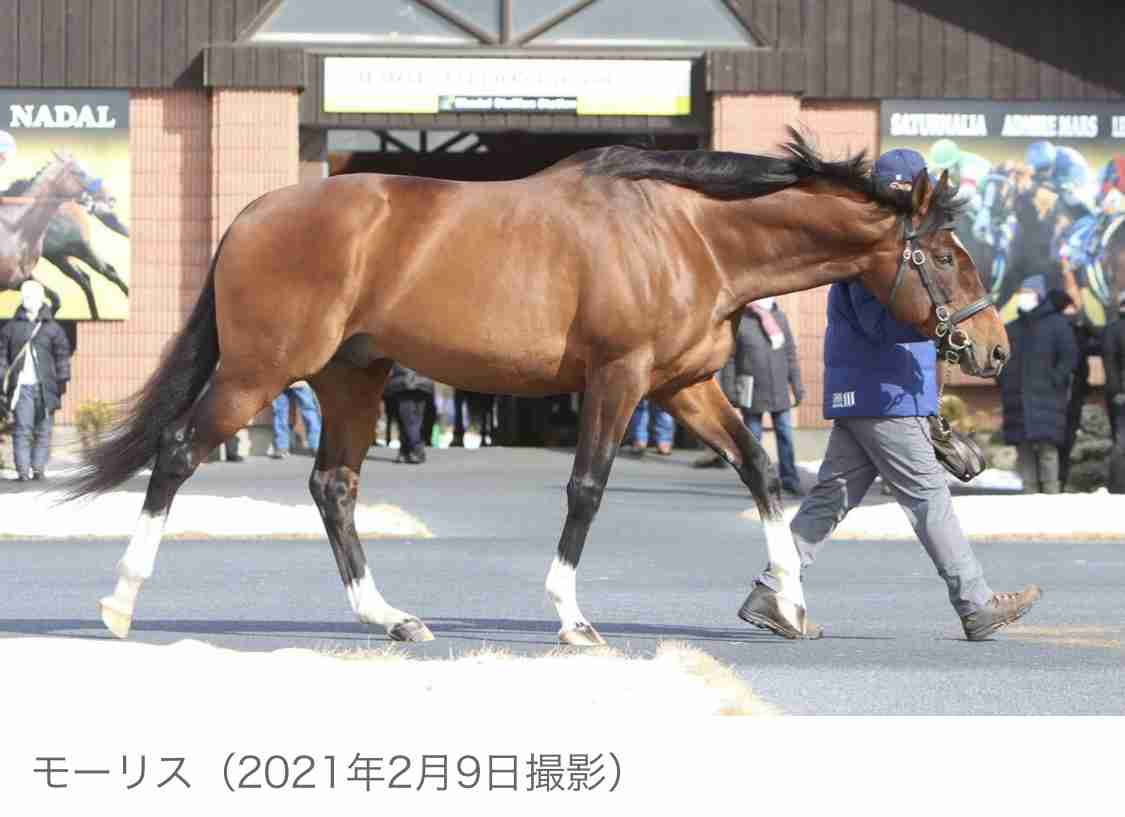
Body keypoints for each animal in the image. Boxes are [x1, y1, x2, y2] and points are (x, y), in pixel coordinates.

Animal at [0, 153, 109, 311]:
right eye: (79, 172)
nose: (109, 196)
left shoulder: (20, 279)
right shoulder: (16, 280)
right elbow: (55, 298)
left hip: (74, 250)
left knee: (102, 272)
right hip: (64, 255)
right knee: (89, 277)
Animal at [65, 130, 1009, 646]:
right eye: (946, 254)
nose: (992, 348)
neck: (688, 234)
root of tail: (251, 214)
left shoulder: (683, 384)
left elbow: (759, 471)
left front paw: (785, 597)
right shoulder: (618, 378)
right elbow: (586, 488)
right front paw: (571, 615)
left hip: (351, 376)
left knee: (333, 484)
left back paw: (390, 616)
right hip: (261, 370)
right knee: (179, 451)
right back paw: (117, 599)